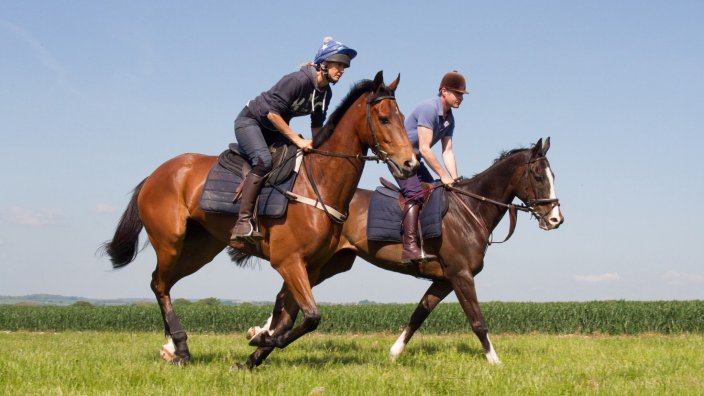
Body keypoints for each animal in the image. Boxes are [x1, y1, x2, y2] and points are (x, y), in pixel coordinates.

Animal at [100, 70, 418, 366]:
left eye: (402, 117)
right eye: (384, 119)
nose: (410, 164)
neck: (319, 182)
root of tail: (155, 175)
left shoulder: (310, 266)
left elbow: (292, 317)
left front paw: (254, 353)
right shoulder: (288, 261)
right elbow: (311, 316)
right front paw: (260, 339)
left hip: (199, 249)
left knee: (162, 283)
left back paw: (173, 348)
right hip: (170, 241)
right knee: (159, 285)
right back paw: (179, 347)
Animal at [245, 137, 564, 366]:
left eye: (553, 174)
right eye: (538, 175)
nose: (556, 219)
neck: (469, 210)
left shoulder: (444, 280)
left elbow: (418, 315)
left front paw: (394, 353)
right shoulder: (461, 275)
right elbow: (478, 321)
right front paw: (495, 362)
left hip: (331, 262)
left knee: (286, 296)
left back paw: (261, 338)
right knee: (289, 296)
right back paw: (262, 337)